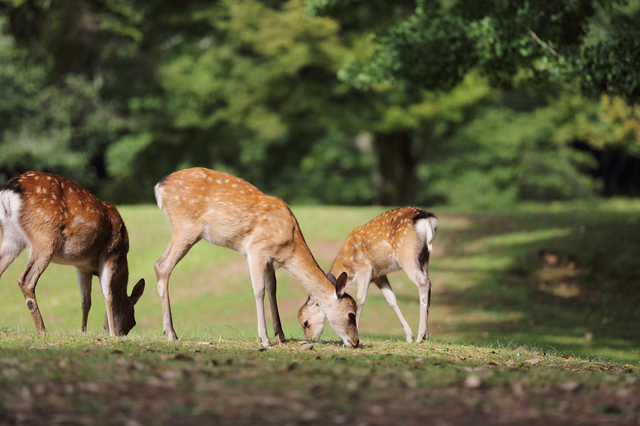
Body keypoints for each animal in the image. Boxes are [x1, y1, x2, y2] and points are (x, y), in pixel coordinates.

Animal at [0, 171, 145, 334]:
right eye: (133, 321)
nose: (122, 334)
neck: (123, 260)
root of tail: (7, 192)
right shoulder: (112, 252)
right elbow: (108, 295)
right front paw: (112, 334)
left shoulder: (82, 266)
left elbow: (86, 301)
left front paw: (83, 332)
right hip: (45, 236)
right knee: (26, 280)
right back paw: (43, 330)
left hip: (12, 238)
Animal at [152, 166, 358, 346]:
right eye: (351, 314)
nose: (355, 342)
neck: (290, 246)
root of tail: (160, 185)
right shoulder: (256, 249)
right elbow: (259, 290)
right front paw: (264, 339)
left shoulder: (270, 260)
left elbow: (272, 289)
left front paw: (280, 335)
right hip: (186, 226)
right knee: (162, 265)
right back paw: (170, 334)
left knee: (159, 264)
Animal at [298, 208, 438, 344]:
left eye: (305, 322)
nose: (309, 339)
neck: (346, 267)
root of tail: (428, 219)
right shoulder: (379, 275)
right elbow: (391, 300)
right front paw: (409, 337)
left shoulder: (363, 268)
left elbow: (360, 300)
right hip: (424, 256)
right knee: (429, 283)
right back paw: (426, 336)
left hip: (406, 253)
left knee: (423, 282)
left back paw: (420, 336)